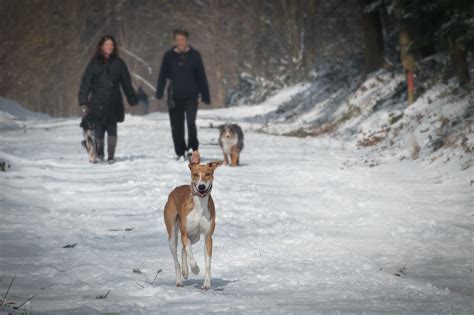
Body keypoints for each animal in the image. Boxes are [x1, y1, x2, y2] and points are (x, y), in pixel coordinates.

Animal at [163, 160, 222, 292]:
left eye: (208, 174)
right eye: (195, 174)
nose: (201, 187)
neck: (199, 205)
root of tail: (174, 190)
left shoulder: (208, 238)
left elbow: (207, 264)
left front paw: (206, 284)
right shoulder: (185, 233)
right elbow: (190, 254)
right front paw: (195, 269)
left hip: (195, 237)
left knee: (182, 249)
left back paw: (185, 271)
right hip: (172, 236)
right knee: (177, 259)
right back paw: (179, 280)